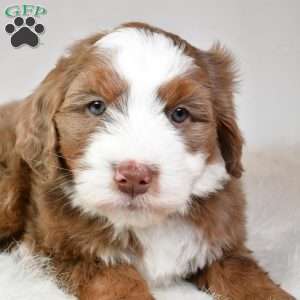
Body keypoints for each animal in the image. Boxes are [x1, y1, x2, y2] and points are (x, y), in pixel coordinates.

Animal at [0, 22, 296, 300]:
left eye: (180, 113)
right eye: (96, 106)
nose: (133, 176)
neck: (150, 223)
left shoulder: (224, 244)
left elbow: (246, 277)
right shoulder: (64, 252)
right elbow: (117, 280)